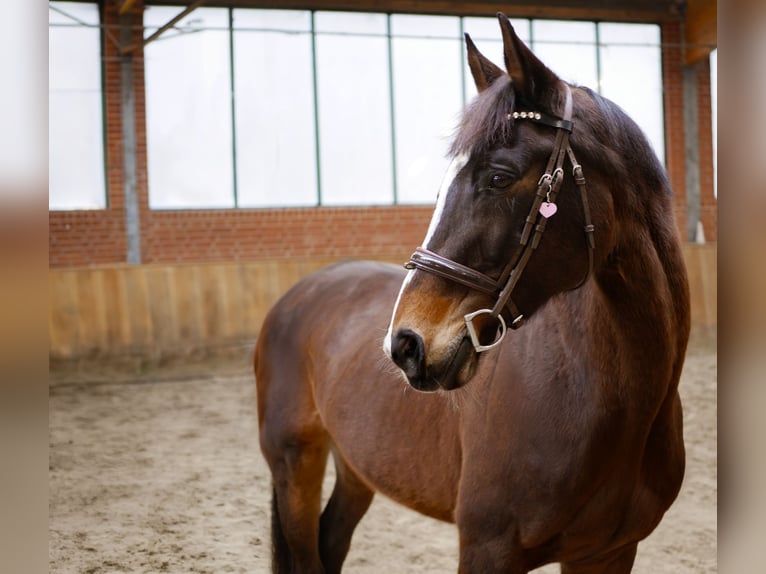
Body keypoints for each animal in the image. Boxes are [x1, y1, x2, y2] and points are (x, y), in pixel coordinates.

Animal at [254, 13, 690, 573]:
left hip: (357, 465)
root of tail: (300, 293)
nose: (406, 346)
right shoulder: (488, 548)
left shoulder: (610, 552)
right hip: (295, 462)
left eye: (499, 178)